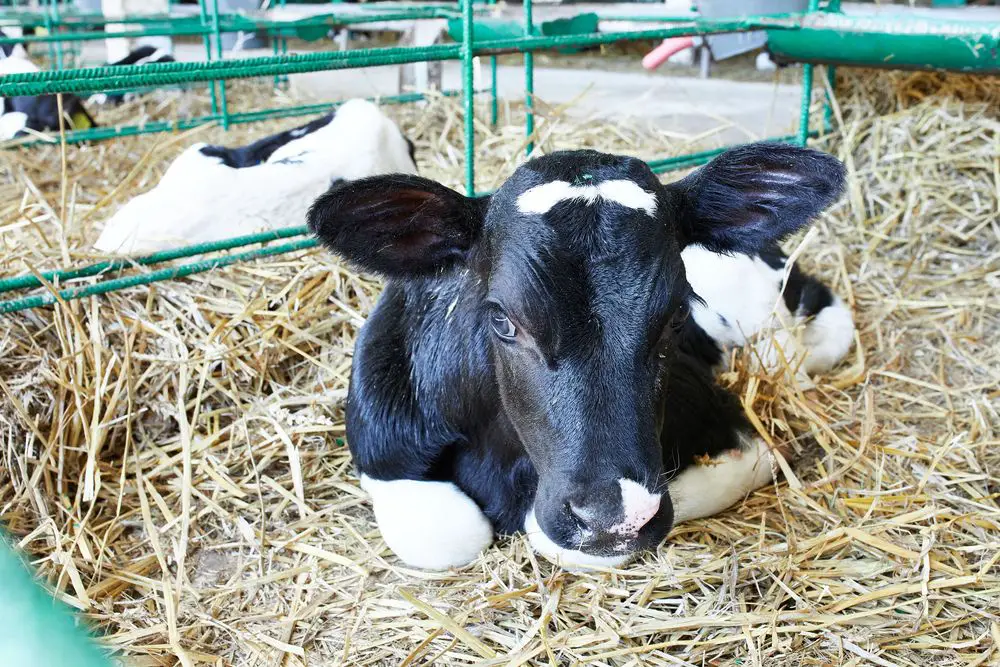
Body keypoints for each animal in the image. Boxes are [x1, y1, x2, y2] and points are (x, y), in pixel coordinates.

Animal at [308, 144, 856, 572]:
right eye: (502, 319)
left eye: (678, 313)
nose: (614, 519)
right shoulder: (381, 440)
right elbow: (447, 535)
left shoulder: (735, 432)